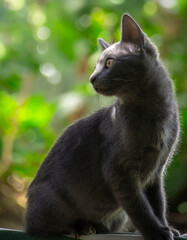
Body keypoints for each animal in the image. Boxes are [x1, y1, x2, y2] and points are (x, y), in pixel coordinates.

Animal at [25, 13, 180, 240]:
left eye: (109, 62)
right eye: (95, 66)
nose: (92, 78)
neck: (156, 114)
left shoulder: (156, 173)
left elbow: (158, 205)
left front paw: (166, 228)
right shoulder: (119, 171)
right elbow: (140, 208)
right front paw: (156, 232)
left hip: (118, 216)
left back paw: (92, 227)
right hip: (51, 202)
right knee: (44, 228)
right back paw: (80, 228)